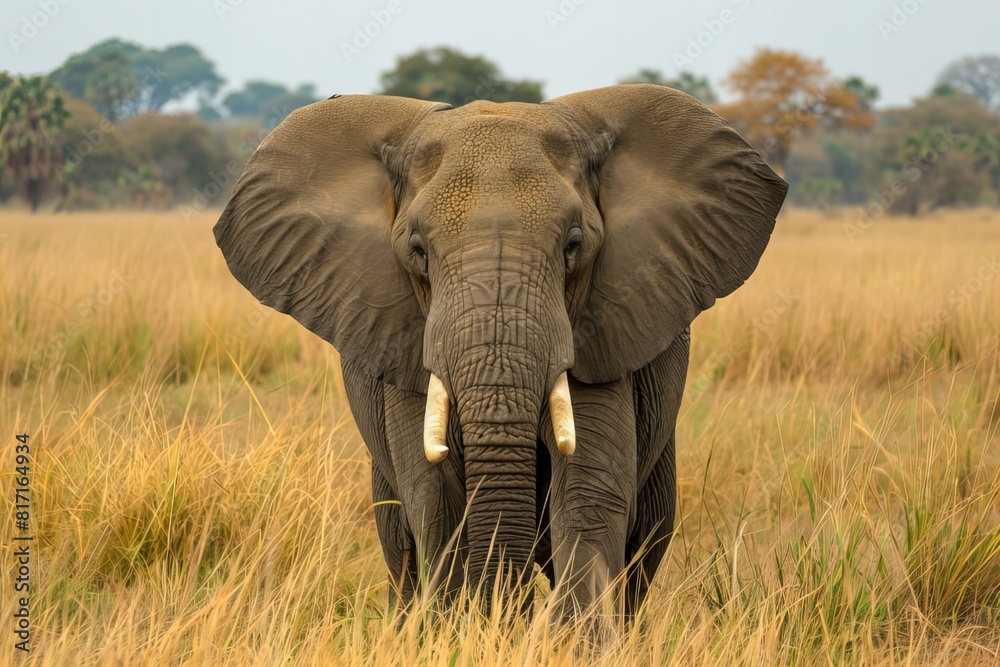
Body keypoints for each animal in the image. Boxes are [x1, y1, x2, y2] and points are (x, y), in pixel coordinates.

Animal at [213, 84, 787, 618]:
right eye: (418, 251)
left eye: (573, 245)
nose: (507, 613)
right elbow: (435, 500)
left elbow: (589, 494)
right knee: (398, 543)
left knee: (645, 542)